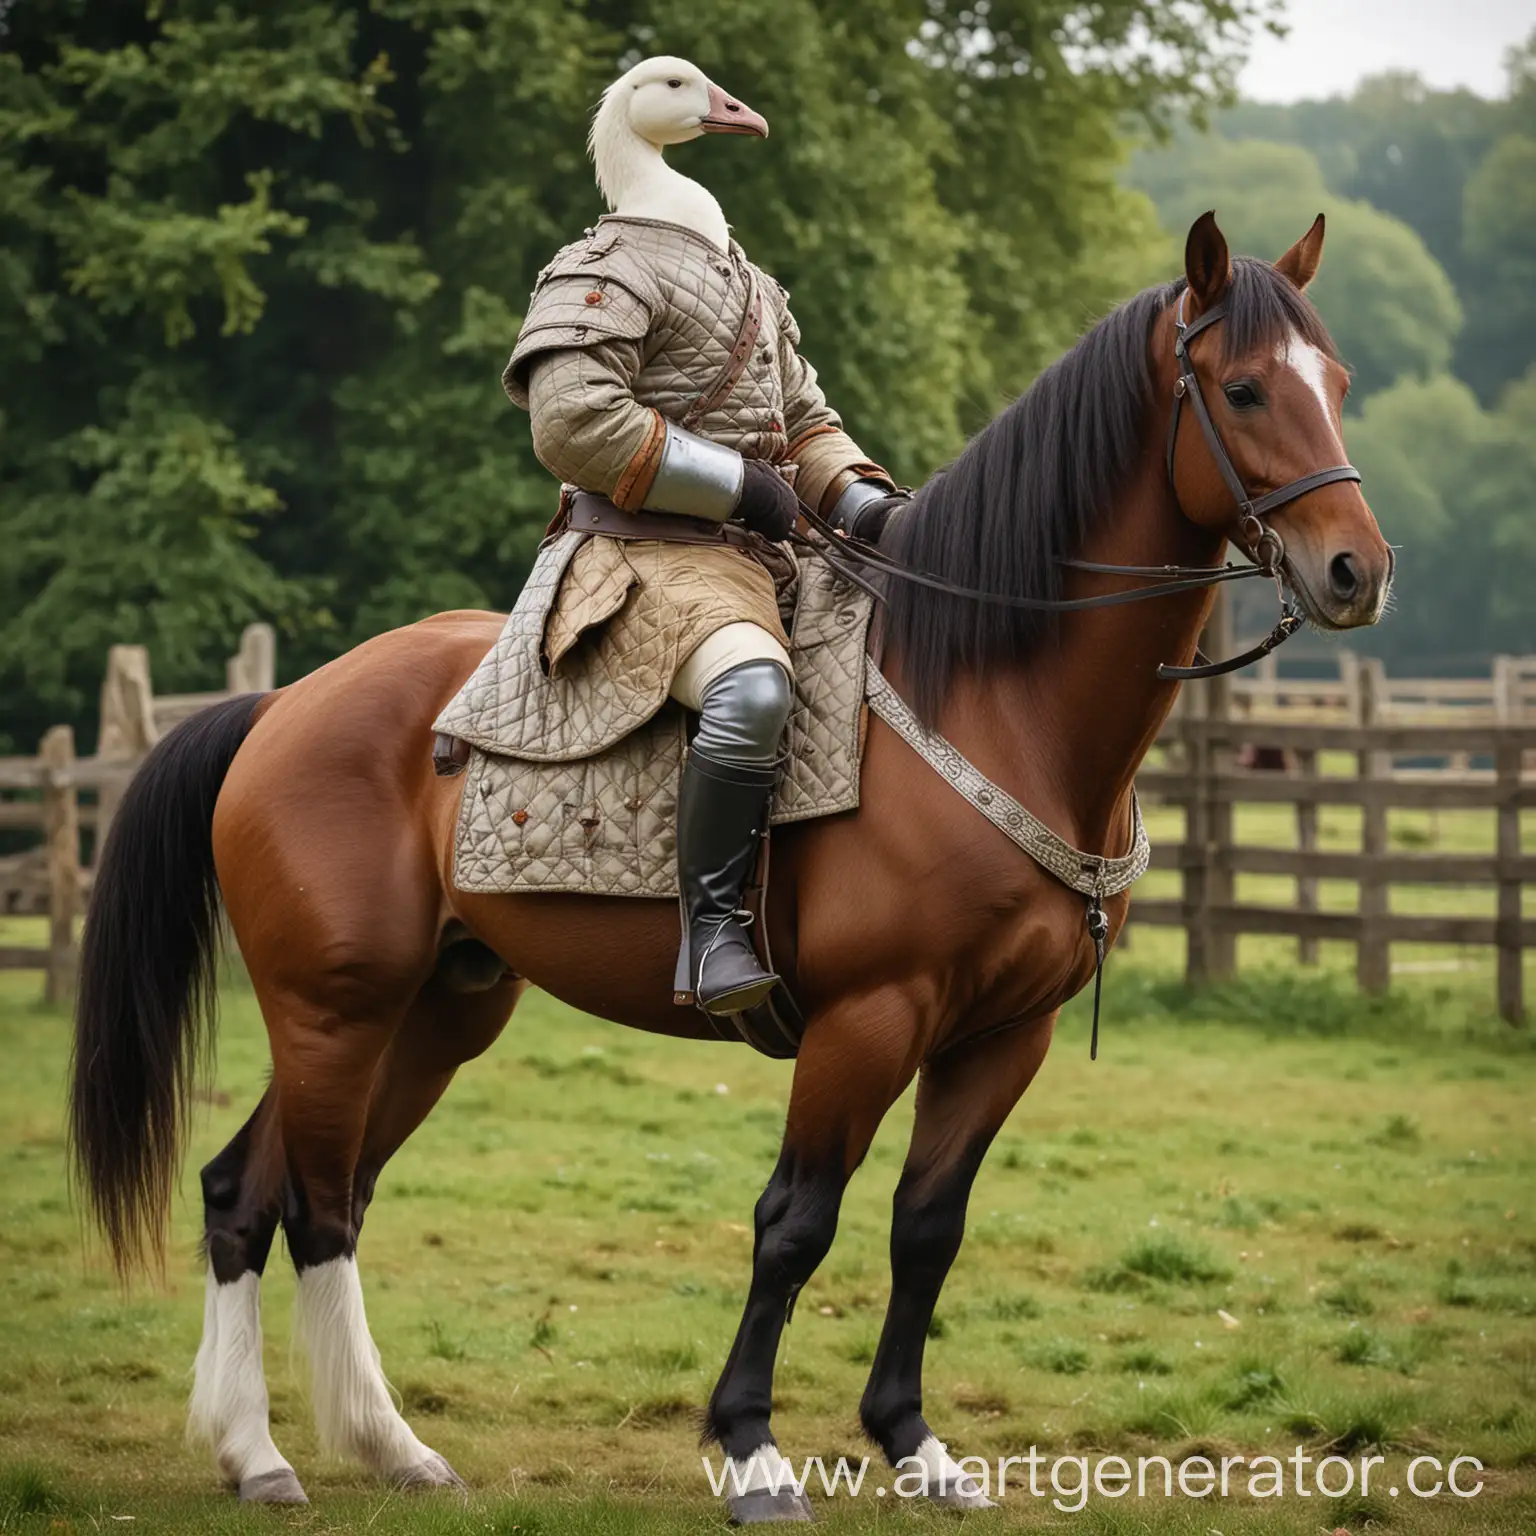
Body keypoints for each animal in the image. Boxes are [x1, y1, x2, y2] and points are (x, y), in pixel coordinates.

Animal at [69, 216, 1394, 1523]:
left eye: (1335, 384)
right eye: (1242, 387)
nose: (1358, 571)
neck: (990, 692)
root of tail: (283, 705)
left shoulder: (1002, 1037)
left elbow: (928, 1228)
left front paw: (912, 1445)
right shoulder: (868, 1022)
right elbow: (796, 1224)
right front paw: (753, 1451)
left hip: (431, 1016)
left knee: (277, 1195)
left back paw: (345, 1451)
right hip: (333, 1012)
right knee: (296, 1198)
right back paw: (277, 1450)